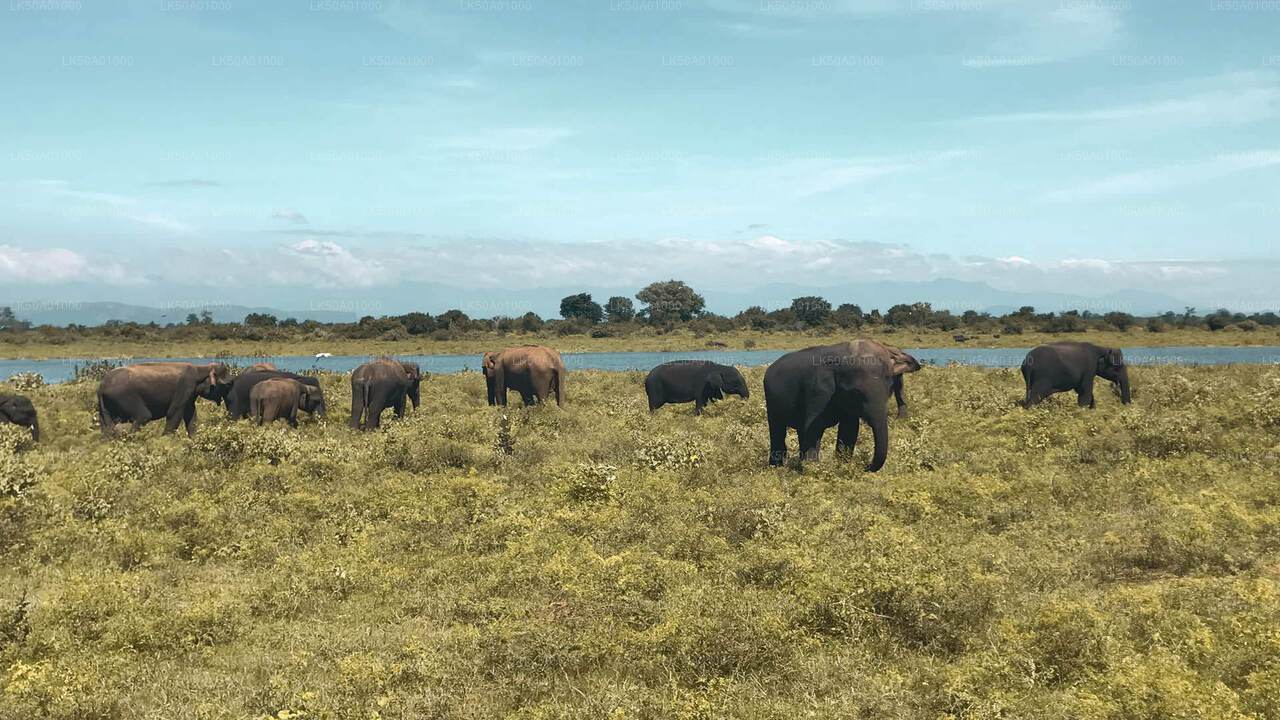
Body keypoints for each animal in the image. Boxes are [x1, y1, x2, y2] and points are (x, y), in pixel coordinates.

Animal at [97, 361, 235, 435]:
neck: (200, 368)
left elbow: (191, 417)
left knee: (107, 428)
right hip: (124, 396)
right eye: (228, 384)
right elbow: (173, 413)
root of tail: (102, 386)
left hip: (105, 406)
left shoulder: (189, 395)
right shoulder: (184, 387)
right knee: (143, 416)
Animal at [762, 340, 916, 471]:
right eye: (857, 393)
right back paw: (777, 467)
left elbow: (850, 428)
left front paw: (842, 466)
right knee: (777, 429)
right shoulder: (818, 389)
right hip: (771, 399)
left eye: (890, 390)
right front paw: (813, 470)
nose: (865, 467)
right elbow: (813, 427)